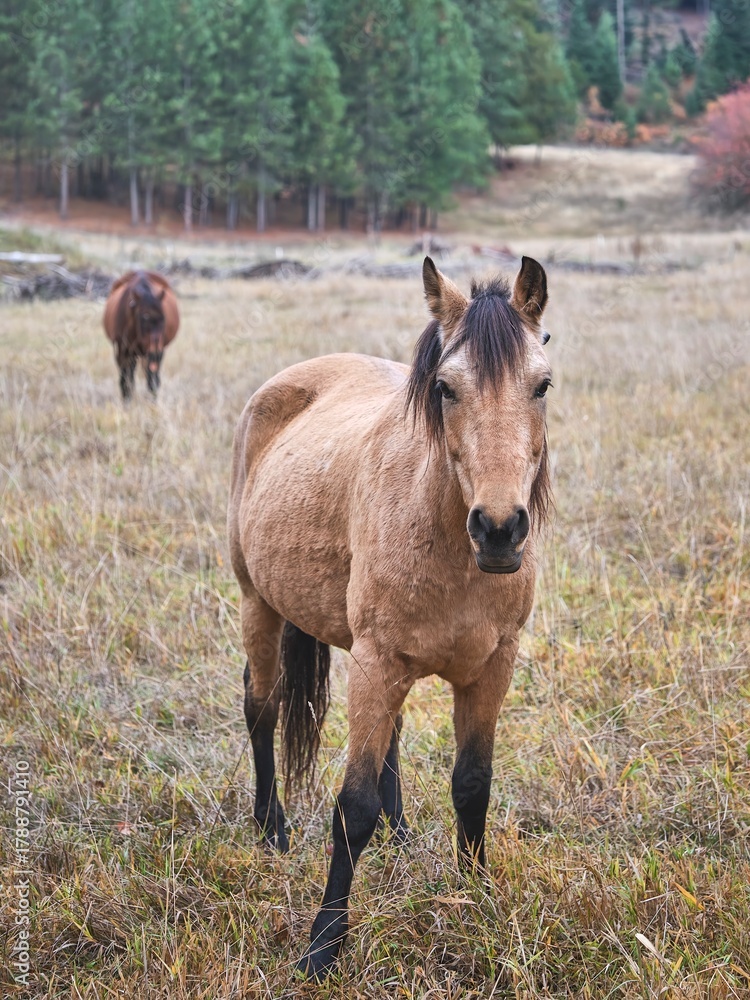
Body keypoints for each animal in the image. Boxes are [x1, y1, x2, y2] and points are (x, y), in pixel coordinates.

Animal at [102, 270, 179, 399]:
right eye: (144, 316)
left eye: (163, 317)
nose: (155, 346)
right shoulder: (122, 352)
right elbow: (125, 382)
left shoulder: (155, 355)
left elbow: (153, 381)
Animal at [227, 255, 553, 979]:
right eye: (445, 388)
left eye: (542, 385)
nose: (499, 529)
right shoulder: (376, 662)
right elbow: (353, 808)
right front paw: (323, 946)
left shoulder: (491, 667)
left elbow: (472, 785)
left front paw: (475, 897)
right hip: (258, 602)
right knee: (262, 707)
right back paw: (271, 828)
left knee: (392, 741)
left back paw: (400, 834)